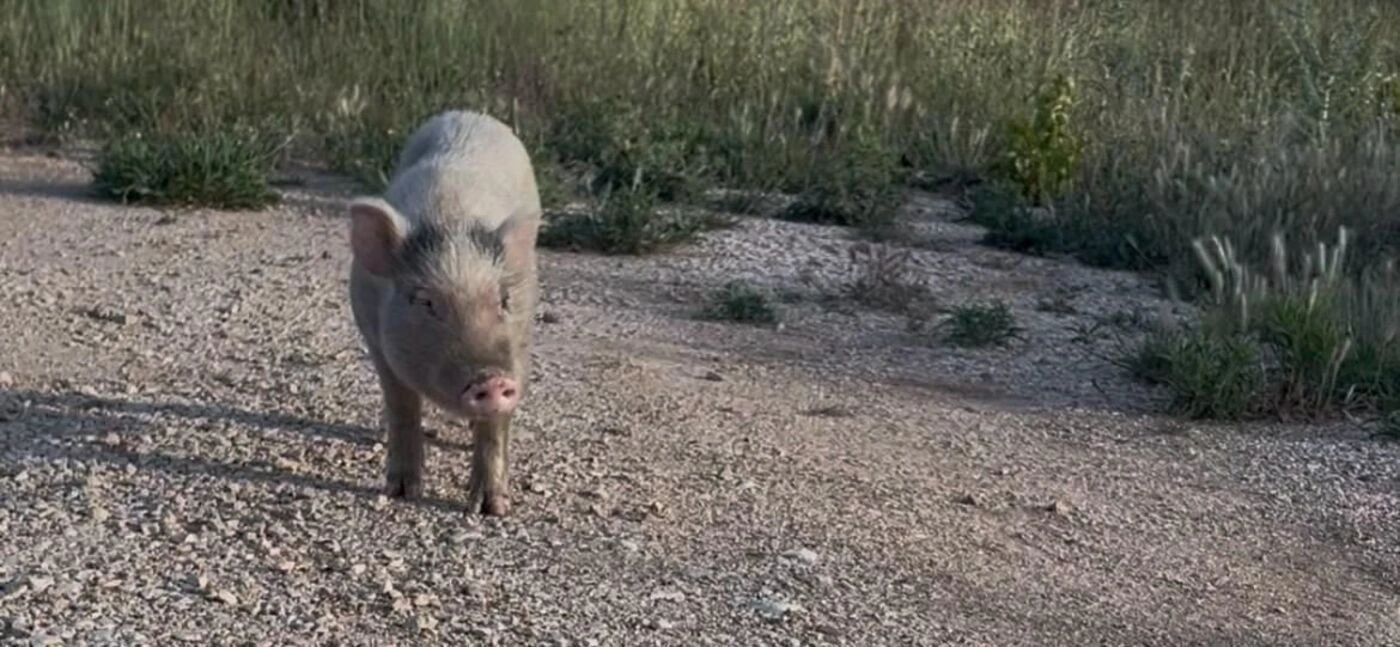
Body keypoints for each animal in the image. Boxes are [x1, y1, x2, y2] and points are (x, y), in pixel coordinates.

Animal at [346, 110, 541, 516]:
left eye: (503, 300)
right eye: (425, 302)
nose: (491, 379)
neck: (451, 218)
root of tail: (470, 113)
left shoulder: (518, 346)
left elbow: (496, 428)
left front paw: (492, 509)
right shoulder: (375, 338)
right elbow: (402, 407)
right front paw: (402, 493)